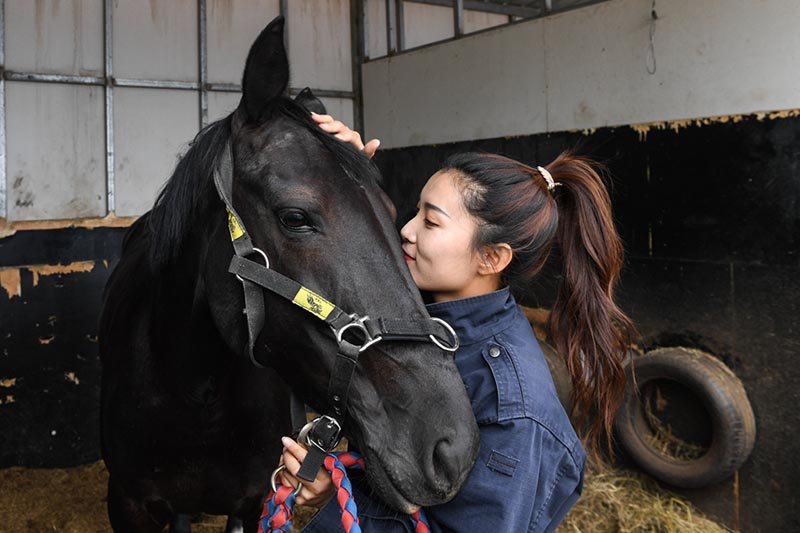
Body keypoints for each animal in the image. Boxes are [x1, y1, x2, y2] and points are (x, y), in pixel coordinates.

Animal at [97, 16, 478, 532]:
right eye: (295, 217)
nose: (452, 447)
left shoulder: (251, 501)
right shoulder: (129, 504)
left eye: (391, 210)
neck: (192, 396)